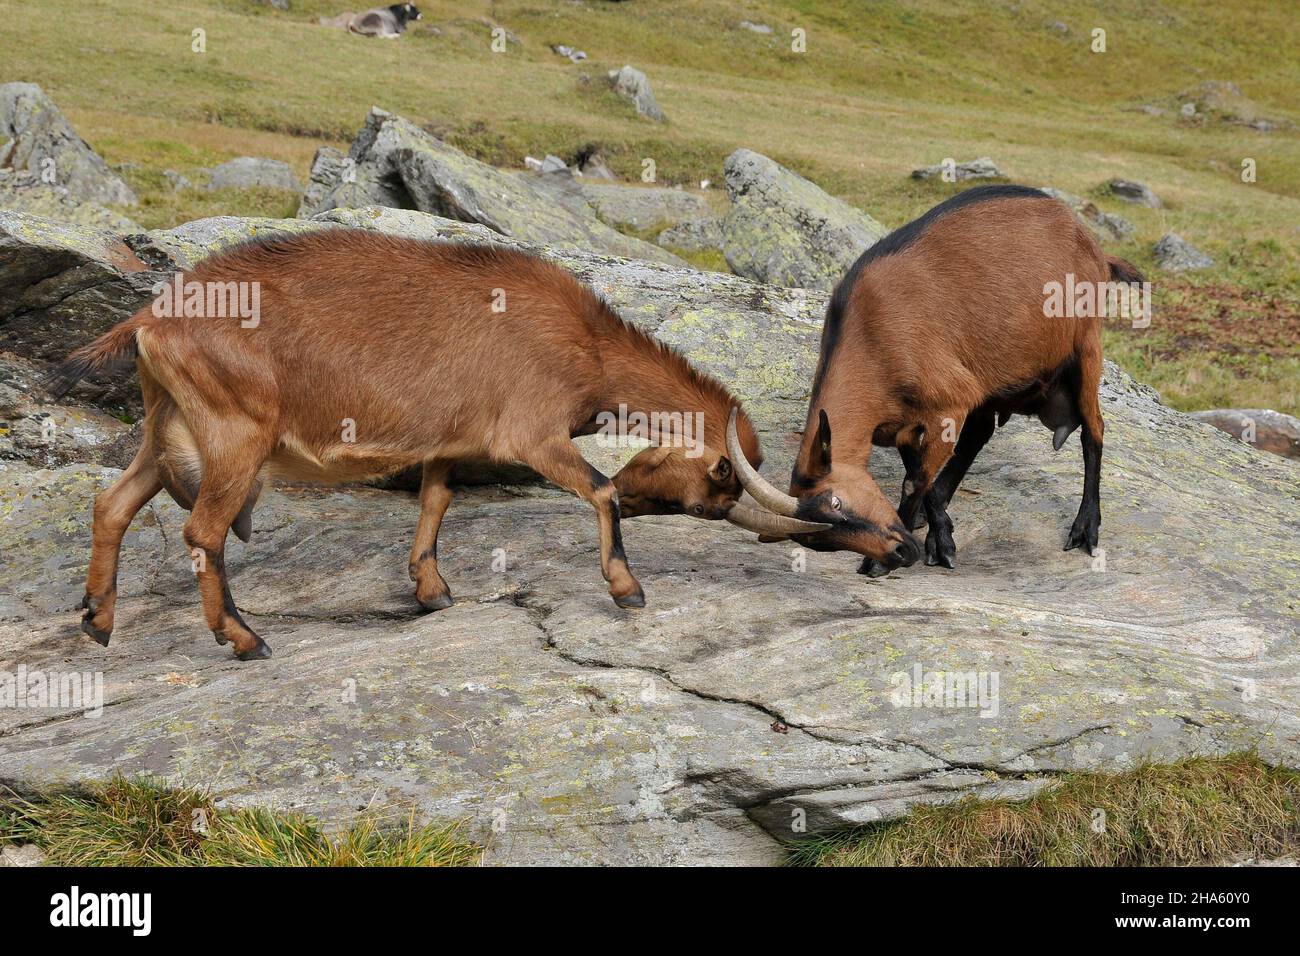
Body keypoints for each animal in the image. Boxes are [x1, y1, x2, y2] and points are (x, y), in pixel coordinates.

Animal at [50, 231, 821, 658]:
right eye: (720, 481)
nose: (647, 499)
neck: (589, 346)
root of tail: (153, 315)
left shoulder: (452, 439)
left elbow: (436, 500)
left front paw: (430, 588)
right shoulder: (534, 434)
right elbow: (597, 490)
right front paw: (626, 589)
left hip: (167, 429)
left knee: (112, 506)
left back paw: (98, 619)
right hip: (236, 436)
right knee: (202, 532)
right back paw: (242, 640)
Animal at [728, 187, 1144, 574]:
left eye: (837, 502)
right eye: (823, 542)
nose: (899, 553)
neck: (870, 335)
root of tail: (1092, 243)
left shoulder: (950, 401)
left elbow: (915, 481)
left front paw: (901, 554)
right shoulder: (907, 423)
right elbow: (921, 474)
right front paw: (933, 532)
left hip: (1086, 345)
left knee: (1094, 429)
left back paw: (1085, 528)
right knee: (981, 432)